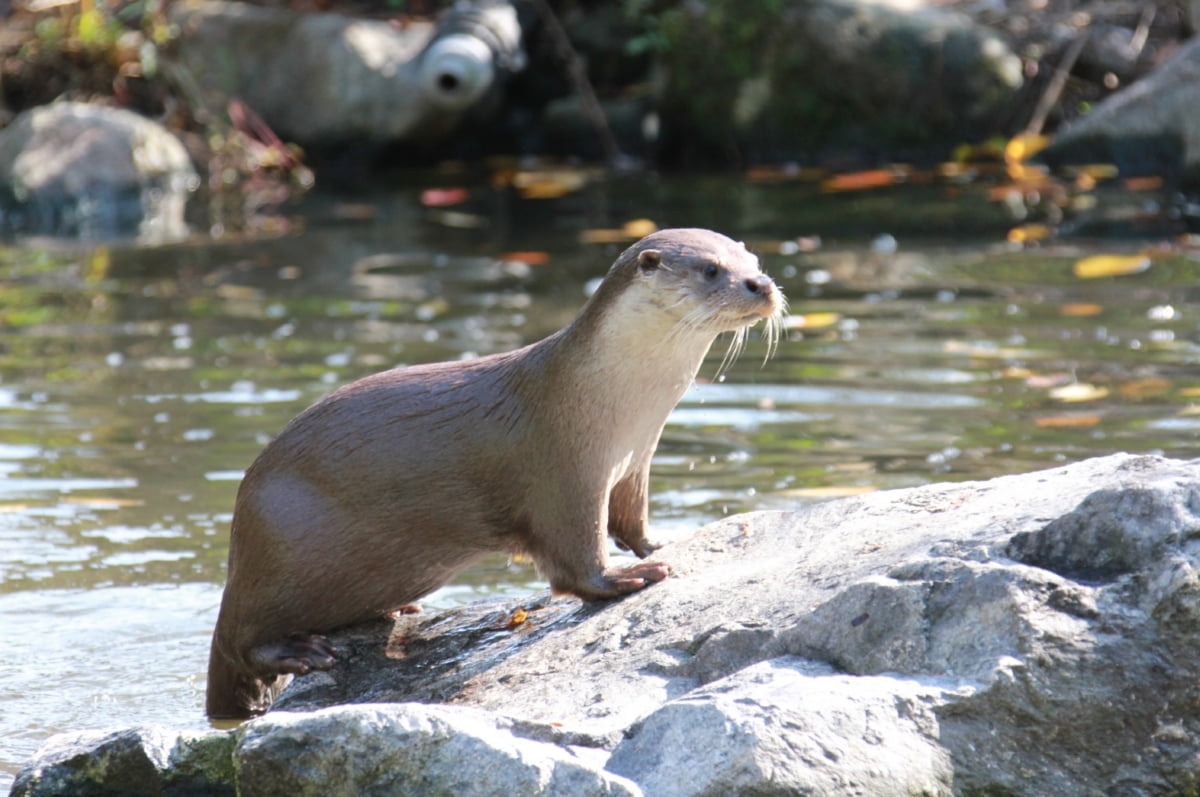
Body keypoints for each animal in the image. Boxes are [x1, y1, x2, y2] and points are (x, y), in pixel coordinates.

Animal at [206, 226, 787, 720]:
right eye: (711, 269)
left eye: (754, 261)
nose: (761, 285)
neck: (616, 399)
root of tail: (241, 536)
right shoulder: (565, 470)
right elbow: (576, 562)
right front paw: (627, 578)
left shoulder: (634, 461)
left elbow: (631, 520)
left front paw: (658, 545)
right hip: (280, 545)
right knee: (238, 638)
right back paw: (301, 651)